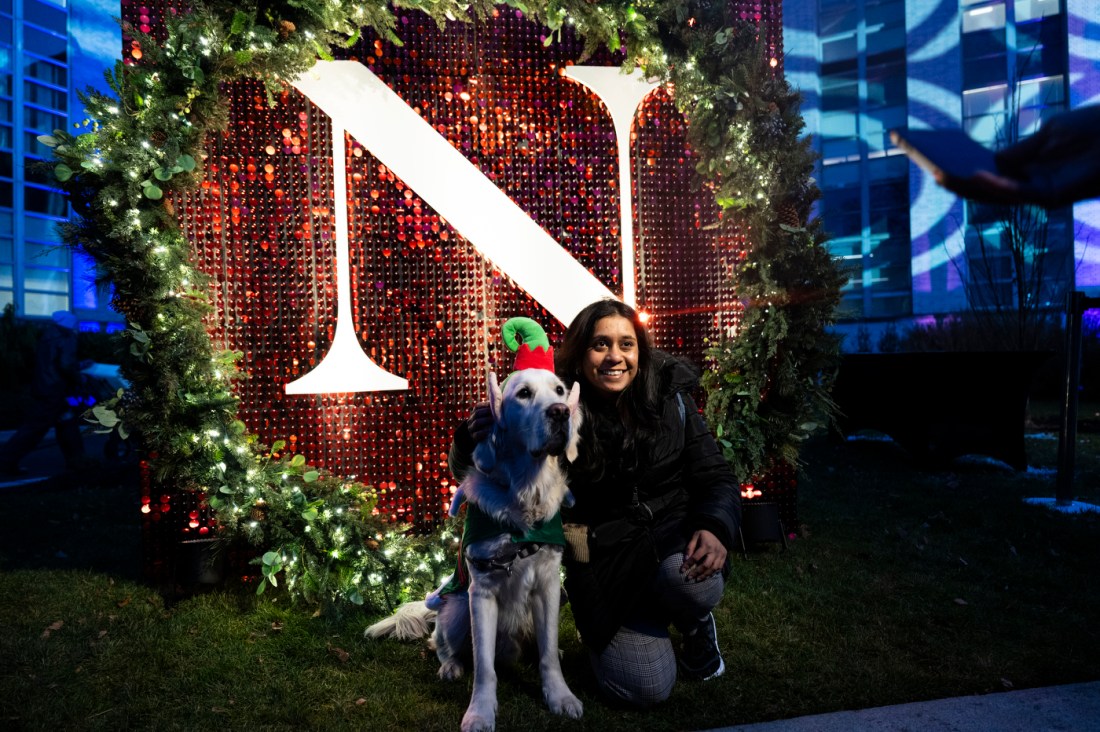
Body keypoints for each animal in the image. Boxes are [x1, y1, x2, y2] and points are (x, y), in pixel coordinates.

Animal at [367, 367, 585, 726]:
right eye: (523, 393)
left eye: (559, 391)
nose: (560, 412)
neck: (524, 493)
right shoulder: (481, 591)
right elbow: (484, 666)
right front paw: (479, 712)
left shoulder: (549, 585)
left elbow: (548, 655)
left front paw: (560, 696)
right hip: (456, 611)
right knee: (440, 644)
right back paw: (450, 667)